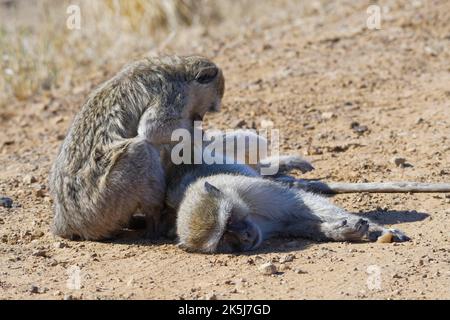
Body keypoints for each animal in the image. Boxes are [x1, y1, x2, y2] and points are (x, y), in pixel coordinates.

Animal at [49, 55, 225, 240]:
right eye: (209, 108)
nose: (199, 119)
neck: (179, 72)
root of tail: (65, 219)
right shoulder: (173, 95)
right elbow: (153, 129)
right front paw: (199, 135)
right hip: (100, 203)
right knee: (141, 148)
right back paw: (155, 226)